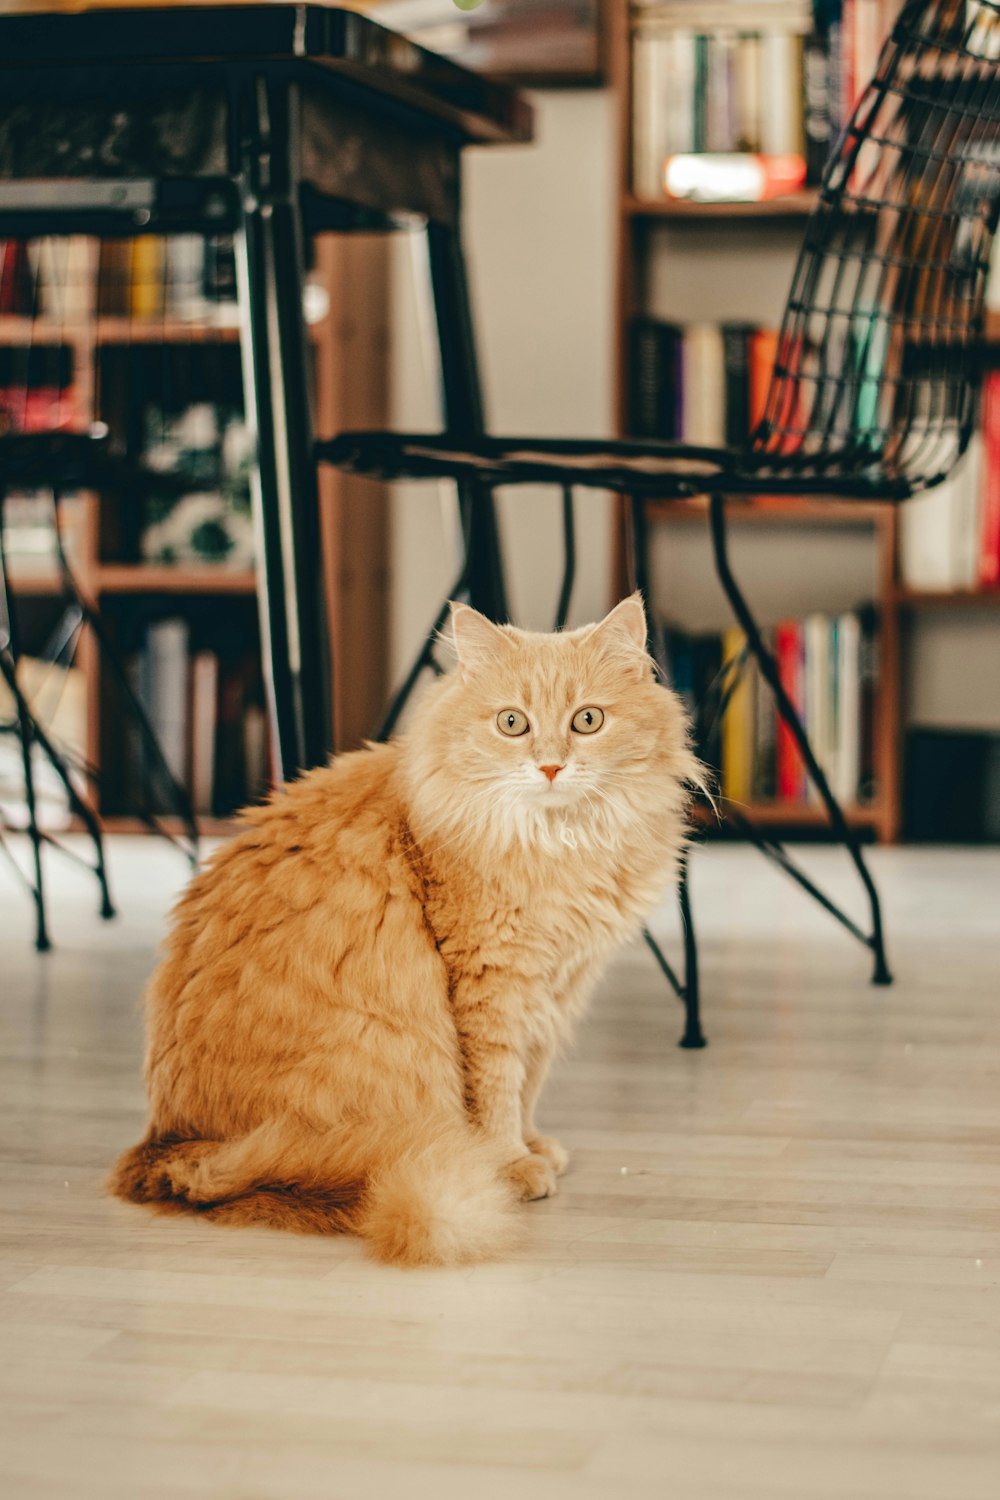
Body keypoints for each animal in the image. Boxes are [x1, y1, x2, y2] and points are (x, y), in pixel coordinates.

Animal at [107, 594, 689, 1266]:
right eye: (512, 723)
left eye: (587, 721)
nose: (550, 766)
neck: (558, 844)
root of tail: (166, 1145)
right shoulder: (492, 983)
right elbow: (497, 1091)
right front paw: (512, 1165)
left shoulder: (558, 986)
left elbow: (529, 1083)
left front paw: (535, 1145)